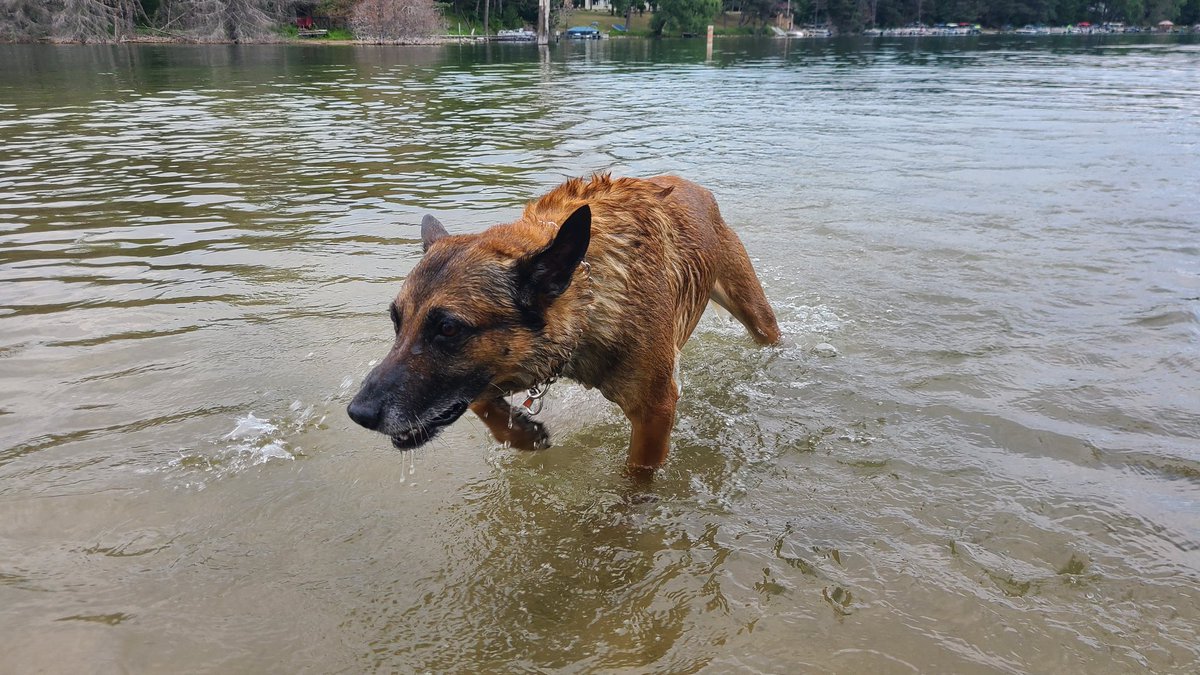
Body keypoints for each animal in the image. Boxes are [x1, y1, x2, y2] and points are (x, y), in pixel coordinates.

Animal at [345, 172, 777, 468]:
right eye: (397, 321)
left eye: (448, 329)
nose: (358, 414)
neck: (587, 286)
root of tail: (693, 187)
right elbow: (480, 399)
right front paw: (522, 434)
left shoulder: (656, 410)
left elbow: (637, 475)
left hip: (756, 313)